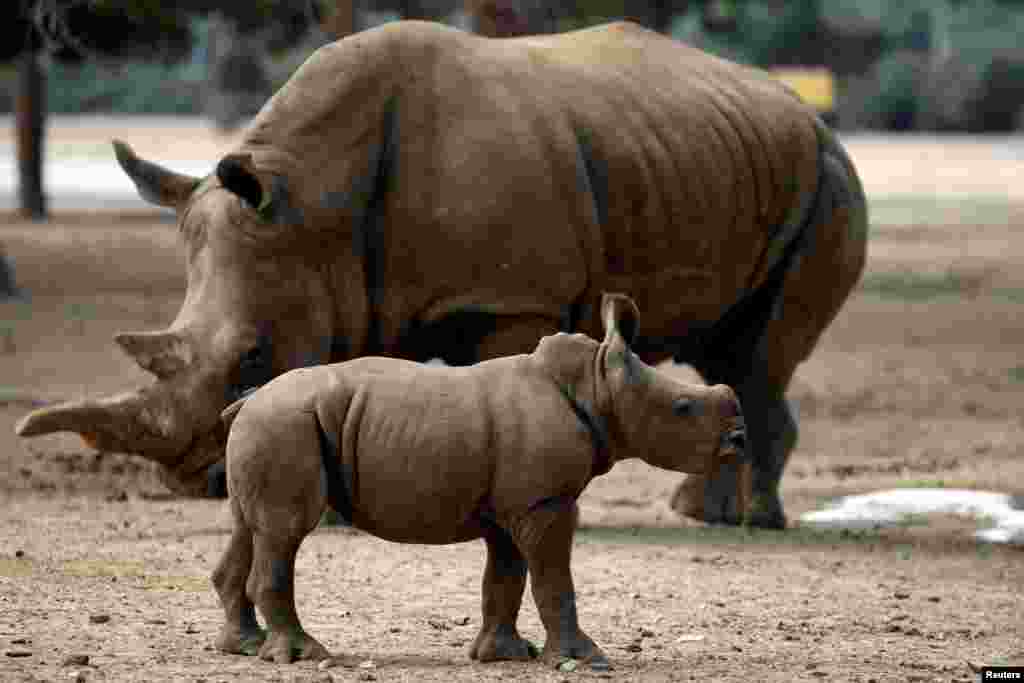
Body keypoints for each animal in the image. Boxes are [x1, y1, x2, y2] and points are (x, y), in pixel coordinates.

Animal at [214, 294, 745, 667]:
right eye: (683, 408)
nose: (738, 439)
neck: (597, 385)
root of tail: (247, 400)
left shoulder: (518, 504)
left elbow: (506, 578)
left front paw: (504, 655)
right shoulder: (546, 501)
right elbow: (554, 579)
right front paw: (585, 660)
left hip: (272, 426)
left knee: (250, 528)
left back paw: (245, 647)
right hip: (284, 424)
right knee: (285, 531)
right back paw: (303, 655)